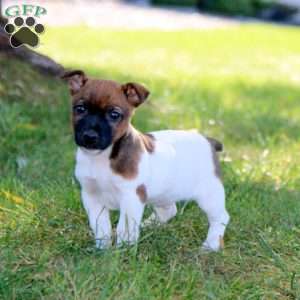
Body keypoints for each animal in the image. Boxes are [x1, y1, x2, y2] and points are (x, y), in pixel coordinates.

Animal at [61, 69, 230, 251]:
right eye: (80, 109)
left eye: (114, 114)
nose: (90, 136)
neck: (103, 157)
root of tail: (208, 141)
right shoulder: (92, 197)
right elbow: (101, 227)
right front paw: (103, 249)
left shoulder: (131, 198)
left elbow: (124, 229)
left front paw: (123, 250)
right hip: (165, 192)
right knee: (169, 211)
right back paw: (148, 226)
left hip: (209, 196)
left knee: (221, 218)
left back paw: (211, 244)